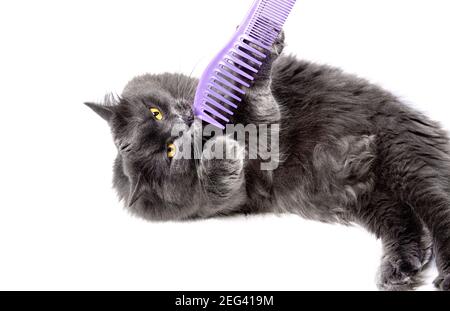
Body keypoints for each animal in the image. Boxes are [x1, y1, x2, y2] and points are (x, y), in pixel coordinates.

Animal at [85, 33, 450, 292]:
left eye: (155, 113)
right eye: (171, 151)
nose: (183, 125)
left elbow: (250, 91)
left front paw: (253, 53)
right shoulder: (240, 182)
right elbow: (250, 127)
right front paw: (220, 152)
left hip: (400, 157)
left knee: (427, 213)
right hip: (379, 190)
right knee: (414, 220)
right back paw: (406, 269)